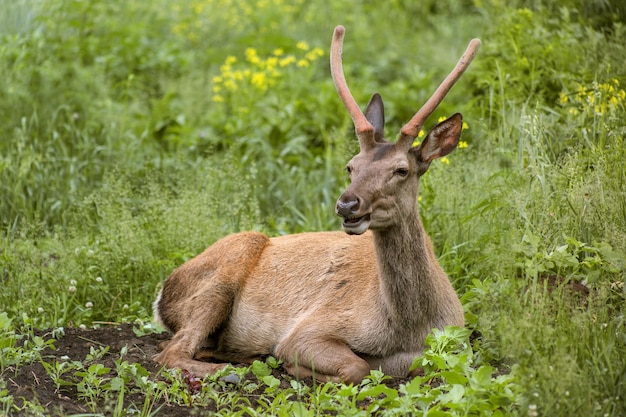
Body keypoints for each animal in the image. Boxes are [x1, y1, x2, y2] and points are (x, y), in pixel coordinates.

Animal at [151, 26, 478, 384]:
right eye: (351, 166)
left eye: (401, 170)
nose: (347, 205)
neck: (409, 329)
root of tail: (162, 294)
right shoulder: (310, 327)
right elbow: (357, 366)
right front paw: (294, 366)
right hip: (225, 272)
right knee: (169, 352)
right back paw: (228, 370)